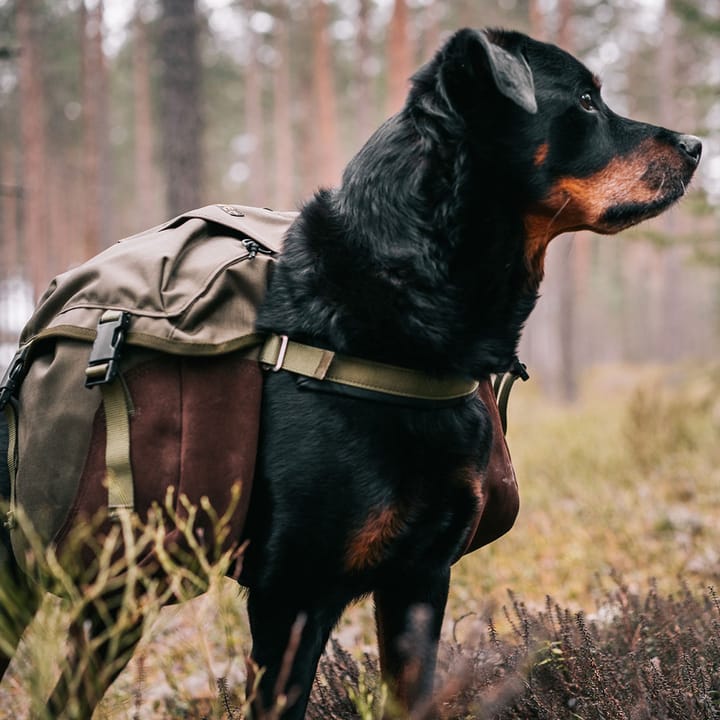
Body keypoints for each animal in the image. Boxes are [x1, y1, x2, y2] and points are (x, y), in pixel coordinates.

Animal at [0, 25, 700, 716]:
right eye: (585, 101)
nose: (696, 145)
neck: (401, 303)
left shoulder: (420, 579)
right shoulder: (292, 596)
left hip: (120, 592)